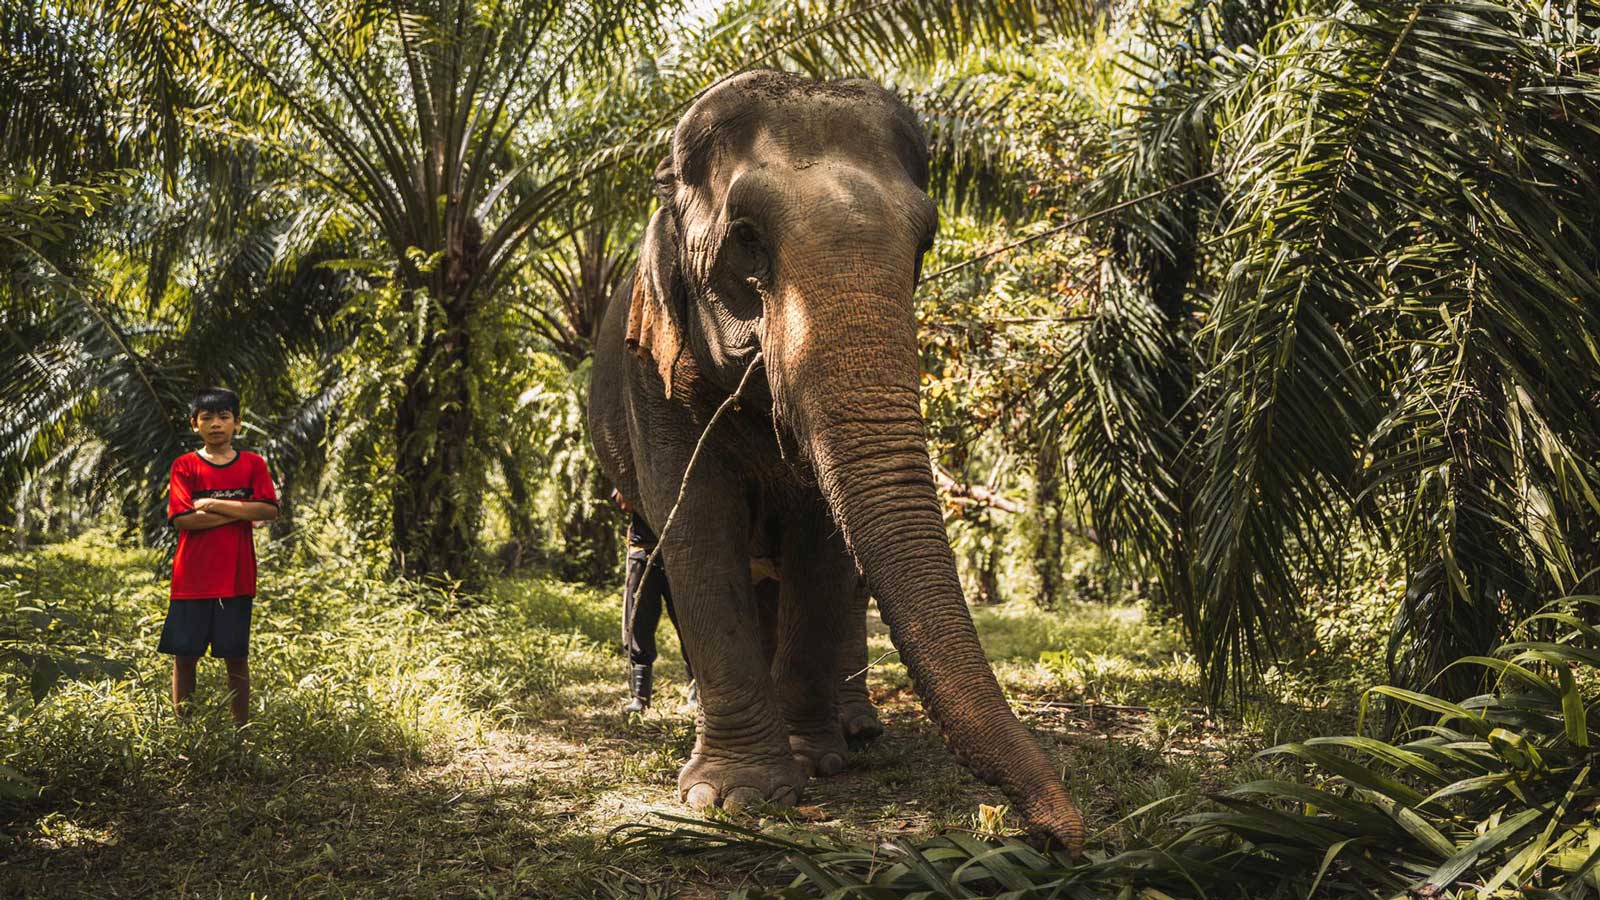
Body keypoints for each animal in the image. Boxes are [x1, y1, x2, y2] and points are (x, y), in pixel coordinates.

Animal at [587, 69, 1085, 854]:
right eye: (746, 239)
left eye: (926, 242)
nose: (1059, 836)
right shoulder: (653, 373)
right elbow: (697, 527)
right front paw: (733, 797)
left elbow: (822, 542)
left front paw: (811, 761)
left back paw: (854, 729)